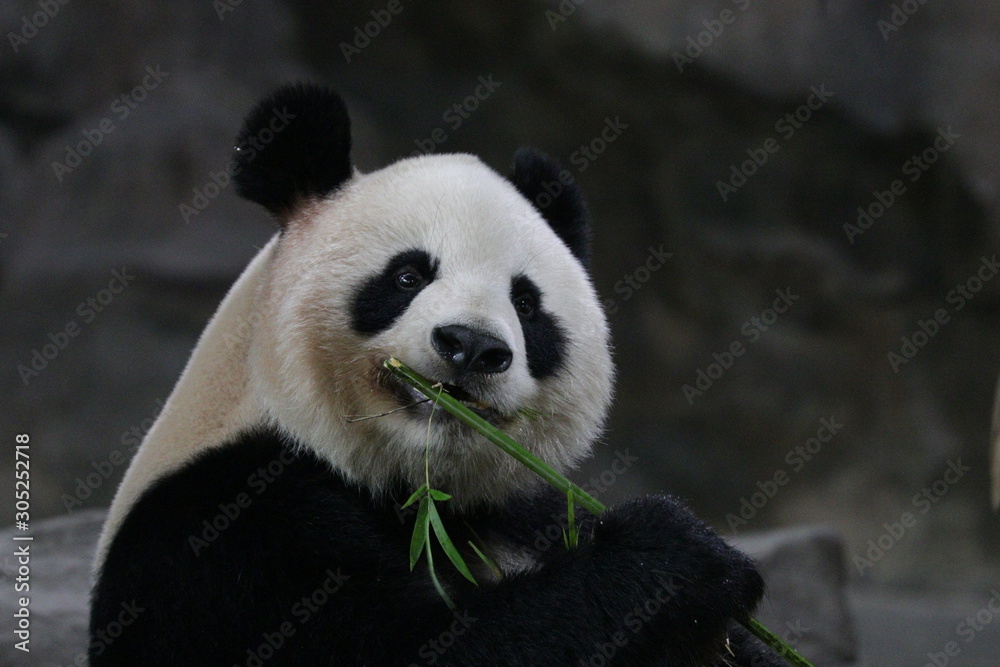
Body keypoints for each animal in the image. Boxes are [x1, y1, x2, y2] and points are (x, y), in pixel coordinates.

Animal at [90, 83, 783, 666]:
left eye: (525, 304)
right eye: (407, 275)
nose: (472, 347)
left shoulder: (515, 514)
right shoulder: (226, 531)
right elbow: (415, 650)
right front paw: (682, 559)